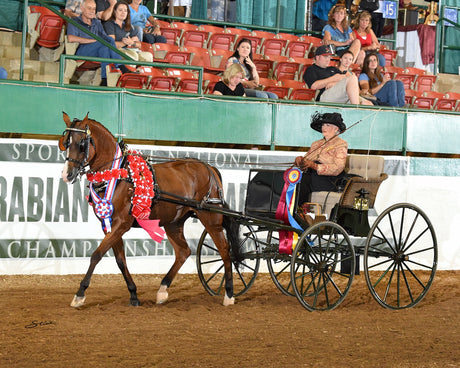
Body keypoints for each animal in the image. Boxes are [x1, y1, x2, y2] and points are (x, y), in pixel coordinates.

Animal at [59, 113, 243, 308]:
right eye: (66, 142)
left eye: (81, 144)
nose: (66, 175)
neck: (118, 174)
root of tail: (210, 168)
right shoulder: (109, 224)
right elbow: (120, 260)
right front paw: (133, 294)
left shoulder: (121, 224)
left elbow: (96, 255)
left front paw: (80, 294)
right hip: (173, 222)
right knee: (183, 252)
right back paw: (162, 290)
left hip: (211, 219)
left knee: (225, 250)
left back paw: (229, 294)